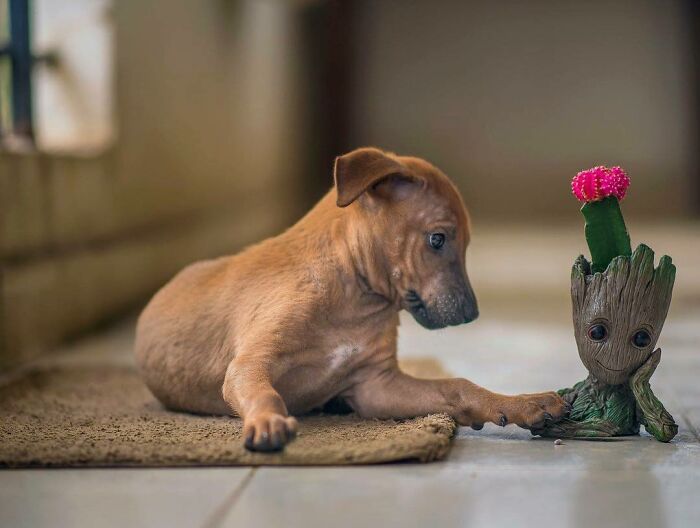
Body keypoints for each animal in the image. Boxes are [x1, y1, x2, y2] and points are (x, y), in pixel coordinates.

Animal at [135, 147, 568, 450]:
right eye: (437, 239)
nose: (471, 314)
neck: (353, 296)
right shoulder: (250, 364)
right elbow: (266, 393)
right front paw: (267, 422)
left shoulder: (376, 386)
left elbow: (459, 385)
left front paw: (523, 403)